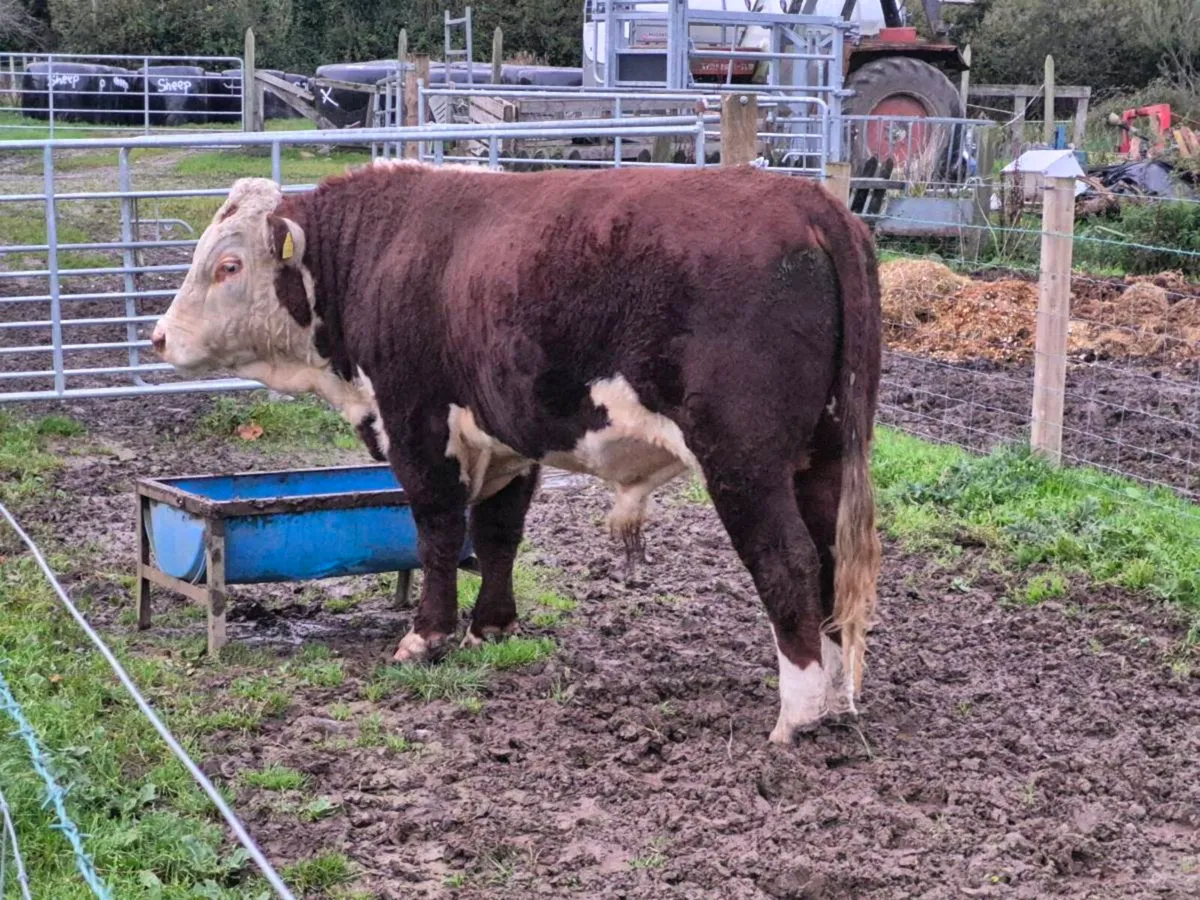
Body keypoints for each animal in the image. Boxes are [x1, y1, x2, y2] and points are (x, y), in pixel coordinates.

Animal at [150, 160, 883, 744]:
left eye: (228, 266)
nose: (159, 337)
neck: (382, 253)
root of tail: (807, 201)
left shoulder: (418, 424)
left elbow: (439, 533)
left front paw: (427, 636)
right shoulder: (506, 437)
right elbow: (498, 535)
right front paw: (492, 627)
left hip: (744, 460)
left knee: (786, 560)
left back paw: (797, 714)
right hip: (822, 455)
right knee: (829, 558)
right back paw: (836, 697)